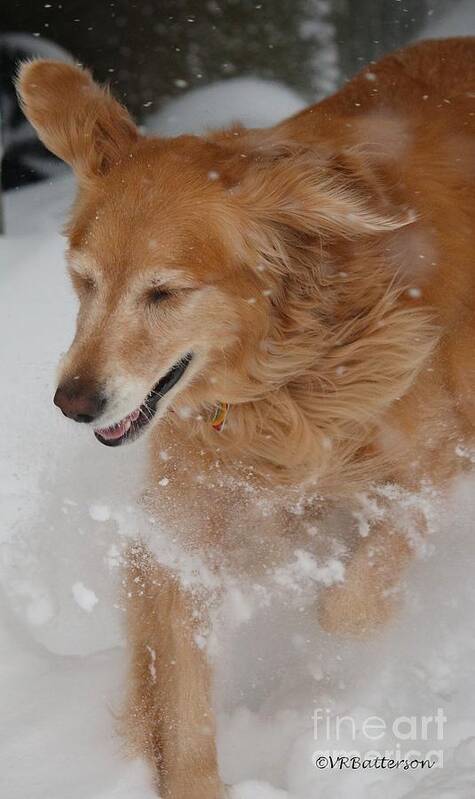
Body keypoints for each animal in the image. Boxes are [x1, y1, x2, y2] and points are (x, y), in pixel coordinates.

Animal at [16, 37, 474, 799]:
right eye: (84, 281)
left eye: (164, 293)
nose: (73, 402)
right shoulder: (183, 525)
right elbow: (179, 683)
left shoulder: (435, 461)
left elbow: (349, 606)